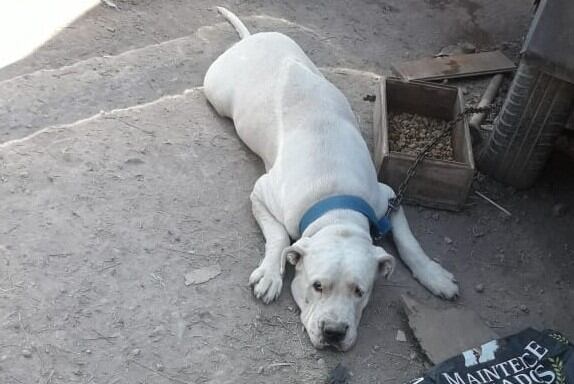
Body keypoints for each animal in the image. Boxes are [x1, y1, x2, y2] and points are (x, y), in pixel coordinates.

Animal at [205, 8, 462, 352]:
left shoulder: (388, 197)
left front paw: (433, 274)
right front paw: (270, 274)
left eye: (360, 291)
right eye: (317, 286)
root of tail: (250, 39)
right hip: (216, 91)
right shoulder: (261, 194)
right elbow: (279, 236)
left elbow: (410, 243)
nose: (334, 332)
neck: (336, 210)